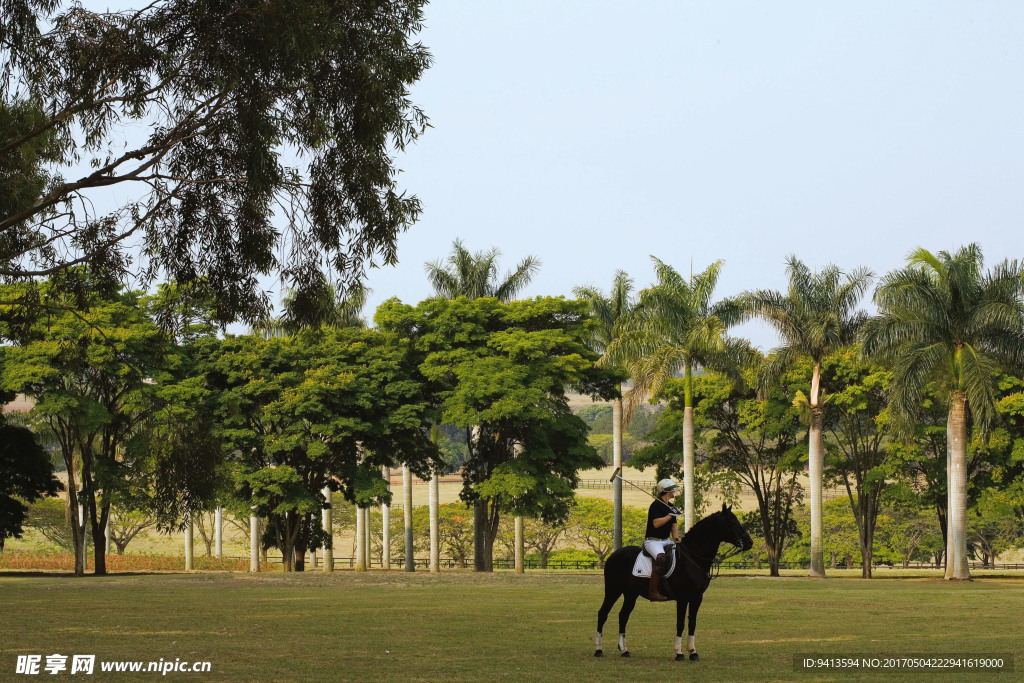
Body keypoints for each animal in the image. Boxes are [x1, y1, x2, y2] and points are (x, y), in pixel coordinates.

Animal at [593, 505, 753, 659]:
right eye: (731, 522)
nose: (749, 542)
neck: (692, 558)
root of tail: (614, 555)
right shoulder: (683, 598)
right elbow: (680, 623)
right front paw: (679, 653)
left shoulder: (697, 598)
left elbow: (692, 623)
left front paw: (693, 652)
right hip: (613, 590)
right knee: (603, 613)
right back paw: (598, 650)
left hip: (631, 594)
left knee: (623, 616)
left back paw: (624, 650)